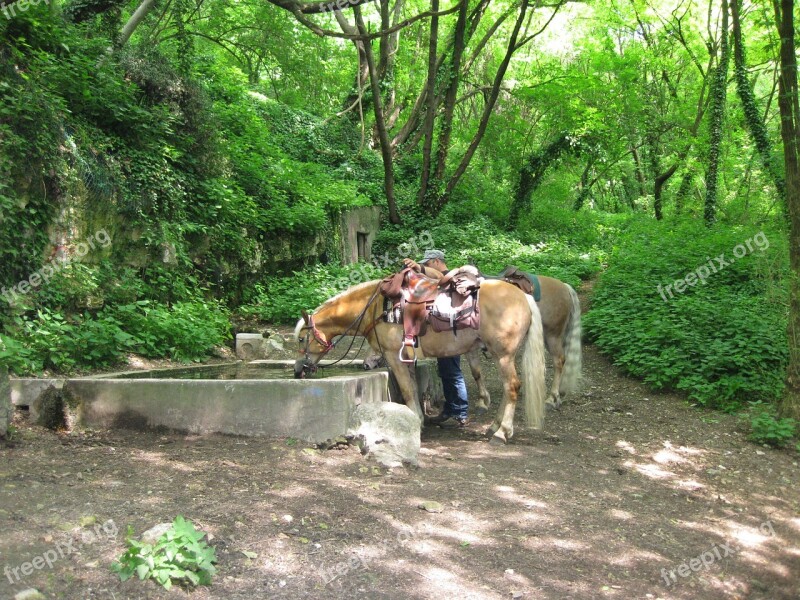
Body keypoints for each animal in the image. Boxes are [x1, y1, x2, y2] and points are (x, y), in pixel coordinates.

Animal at [294, 278, 552, 442]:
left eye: (301, 339)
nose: (298, 370)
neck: (377, 308)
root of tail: (524, 296)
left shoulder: (394, 356)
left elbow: (407, 390)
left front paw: (416, 422)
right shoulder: (406, 359)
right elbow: (412, 389)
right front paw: (415, 419)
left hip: (504, 355)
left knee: (512, 387)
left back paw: (502, 432)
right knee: (510, 389)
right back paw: (494, 427)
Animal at [468, 274, 580, 410]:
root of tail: (565, 286)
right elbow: (476, 372)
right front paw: (482, 400)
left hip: (552, 336)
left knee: (558, 361)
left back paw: (552, 397)